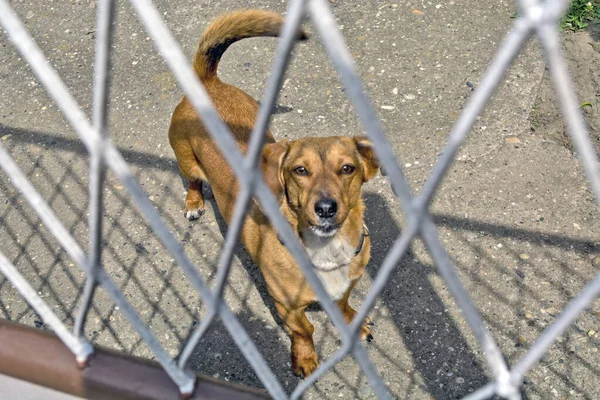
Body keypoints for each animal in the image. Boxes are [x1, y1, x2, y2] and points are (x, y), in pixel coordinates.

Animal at [166, 10, 378, 378]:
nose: (325, 208)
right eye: (300, 170)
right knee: (192, 180)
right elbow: (305, 330)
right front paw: (305, 358)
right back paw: (194, 203)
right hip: (186, 159)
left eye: (348, 168)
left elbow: (343, 303)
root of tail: (208, 83)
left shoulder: (345, 286)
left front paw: (353, 322)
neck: (325, 252)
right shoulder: (286, 306)